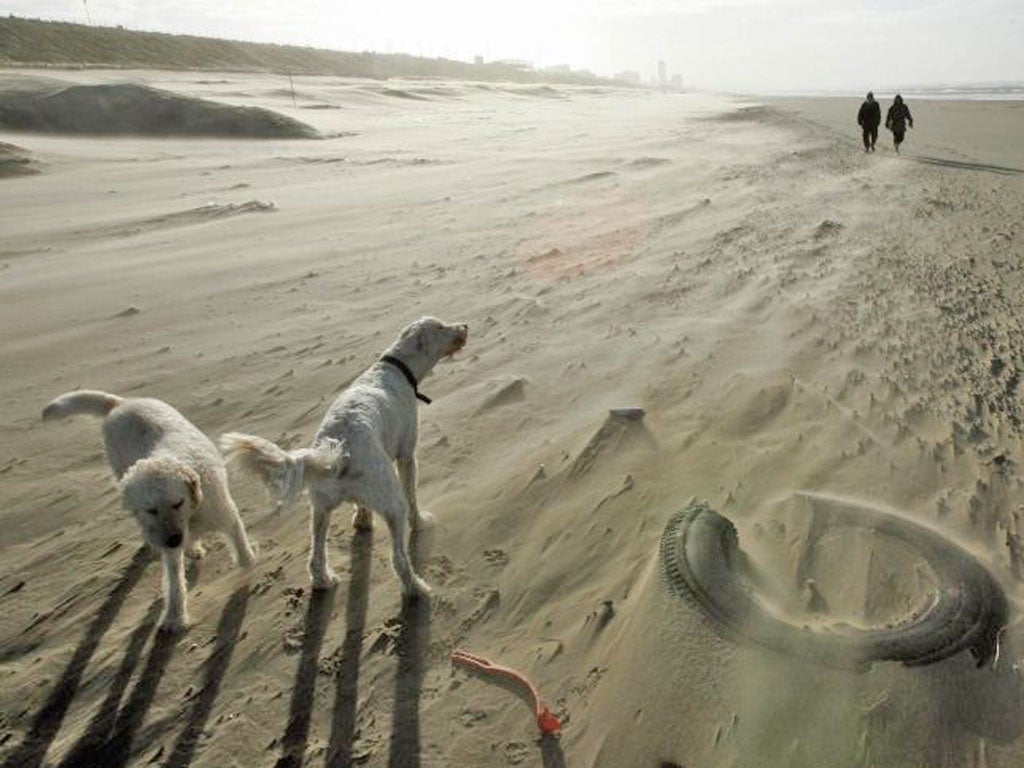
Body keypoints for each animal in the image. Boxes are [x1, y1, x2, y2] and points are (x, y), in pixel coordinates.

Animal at [44, 393, 258, 634]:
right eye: (151, 510)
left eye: (178, 503)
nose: (173, 540)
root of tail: (121, 403)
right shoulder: (169, 545)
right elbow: (174, 583)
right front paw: (175, 617)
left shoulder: (226, 516)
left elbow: (241, 548)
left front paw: (248, 564)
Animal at [222, 317, 468, 602]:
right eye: (440, 327)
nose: (465, 326)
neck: (395, 367)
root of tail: (339, 452)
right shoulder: (407, 455)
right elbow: (412, 495)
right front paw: (420, 522)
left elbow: (362, 506)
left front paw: (362, 519)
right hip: (391, 502)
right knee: (398, 558)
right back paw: (416, 589)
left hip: (320, 508)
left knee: (315, 558)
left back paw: (324, 581)